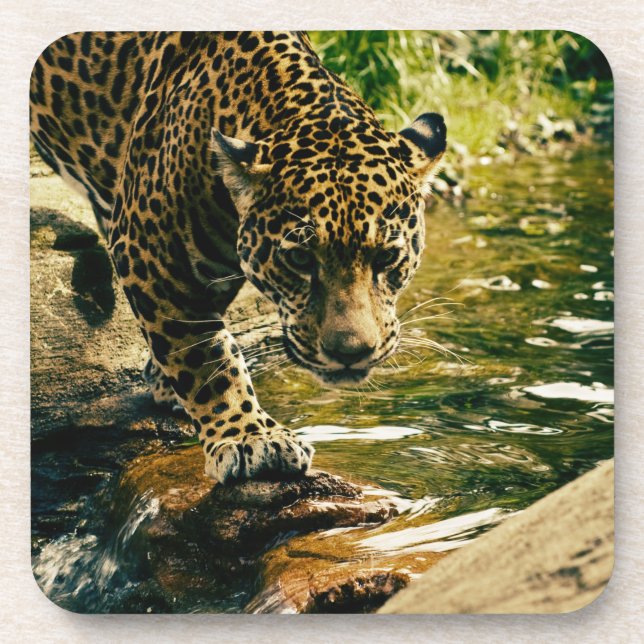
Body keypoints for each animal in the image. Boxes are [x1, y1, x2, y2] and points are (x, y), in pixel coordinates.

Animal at [30, 31, 446, 484]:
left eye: (387, 258)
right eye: (301, 260)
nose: (350, 353)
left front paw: (164, 382)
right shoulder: (150, 249)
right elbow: (205, 353)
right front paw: (251, 437)